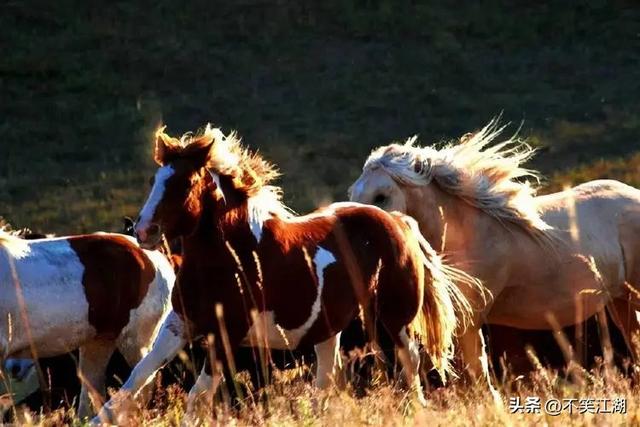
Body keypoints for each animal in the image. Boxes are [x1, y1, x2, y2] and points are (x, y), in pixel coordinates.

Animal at [95, 124, 476, 424]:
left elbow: (196, 396)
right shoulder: (181, 322)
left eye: (185, 184)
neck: (231, 255)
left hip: (393, 321)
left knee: (409, 365)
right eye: (154, 180)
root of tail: (399, 222)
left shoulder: (226, 334)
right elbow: (135, 380)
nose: (144, 230)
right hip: (329, 329)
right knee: (328, 377)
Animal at [348, 116, 640, 394]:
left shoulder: (469, 319)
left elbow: (477, 379)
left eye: (381, 196)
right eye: (353, 193)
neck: (467, 235)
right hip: (621, 300)